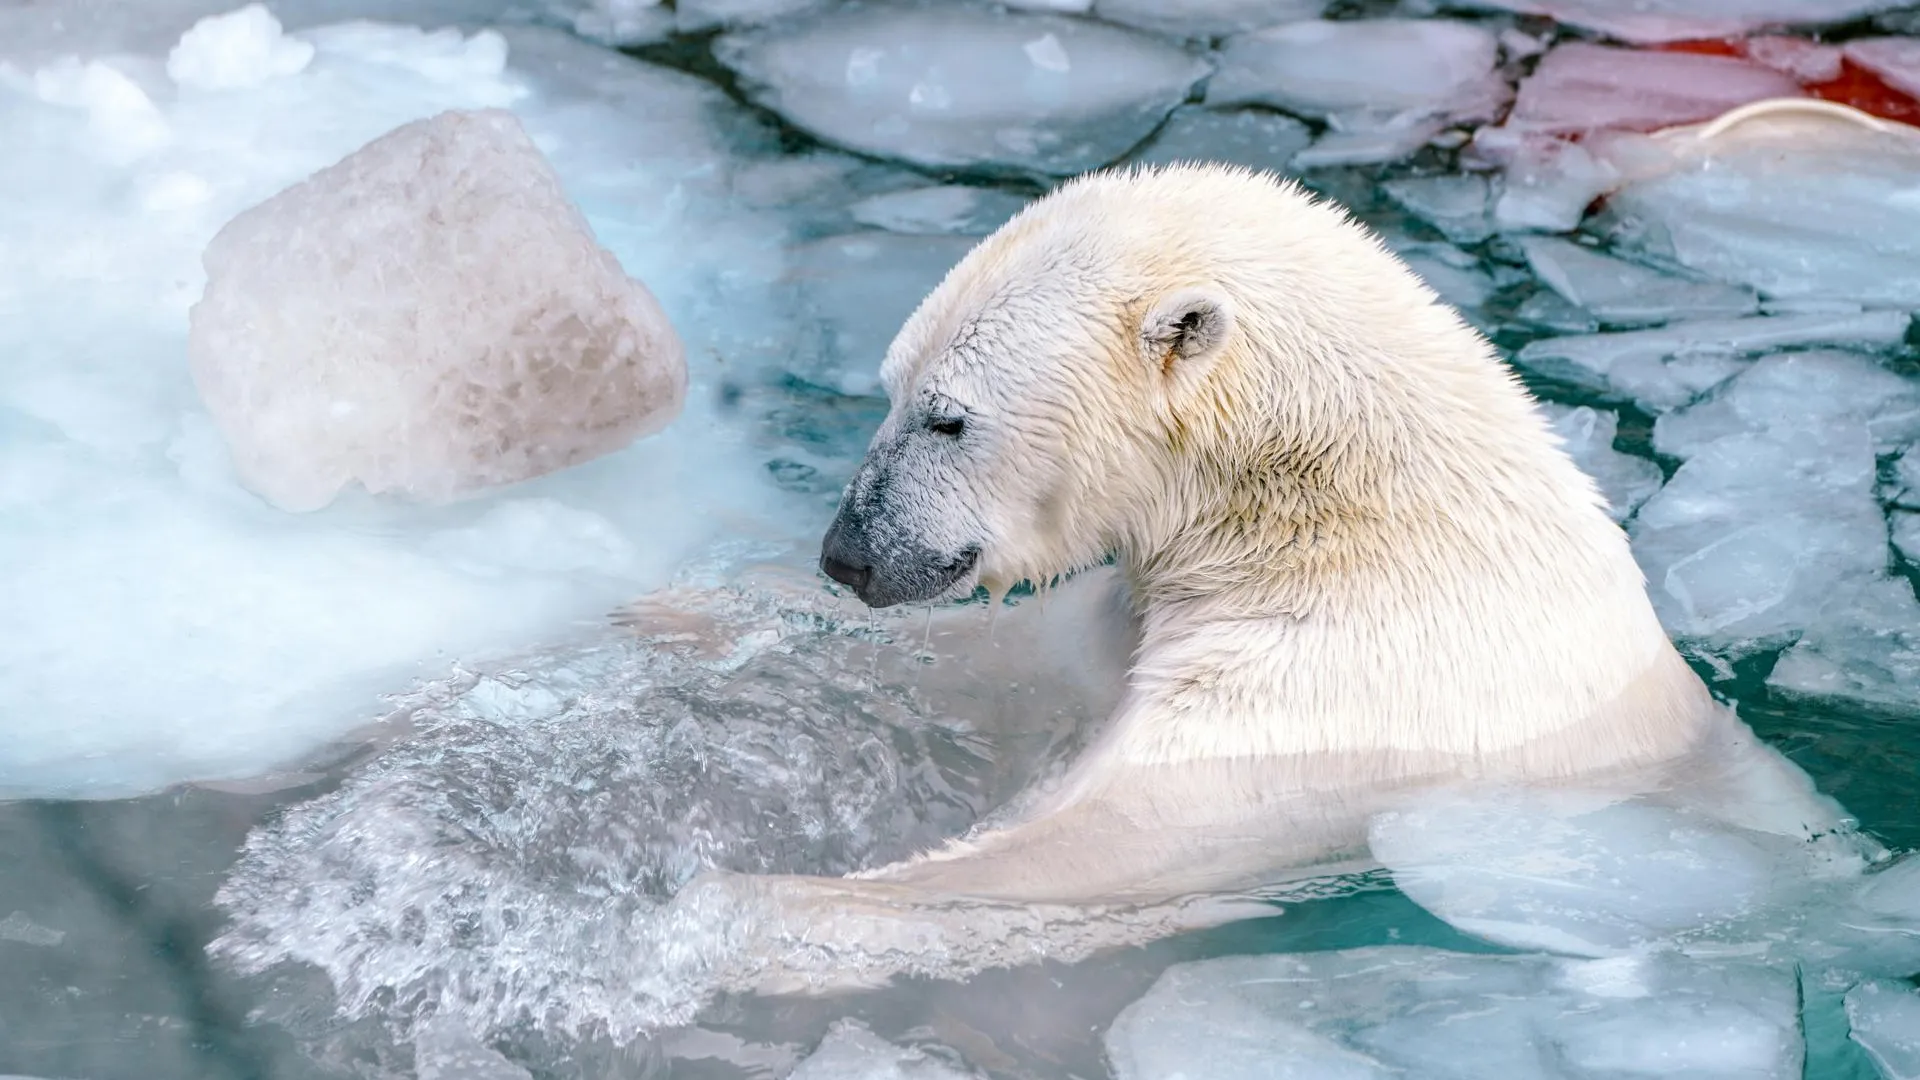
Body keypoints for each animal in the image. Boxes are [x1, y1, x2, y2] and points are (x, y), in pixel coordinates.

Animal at [679, 161, 1858, 983]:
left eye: (948, 416)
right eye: (890, 389)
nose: (848, 554)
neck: (1343, 511)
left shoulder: (1345, 683)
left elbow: (1125, 831)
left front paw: (744, 913)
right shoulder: (1141, 609)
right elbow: (1014, 660)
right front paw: (698, 616)